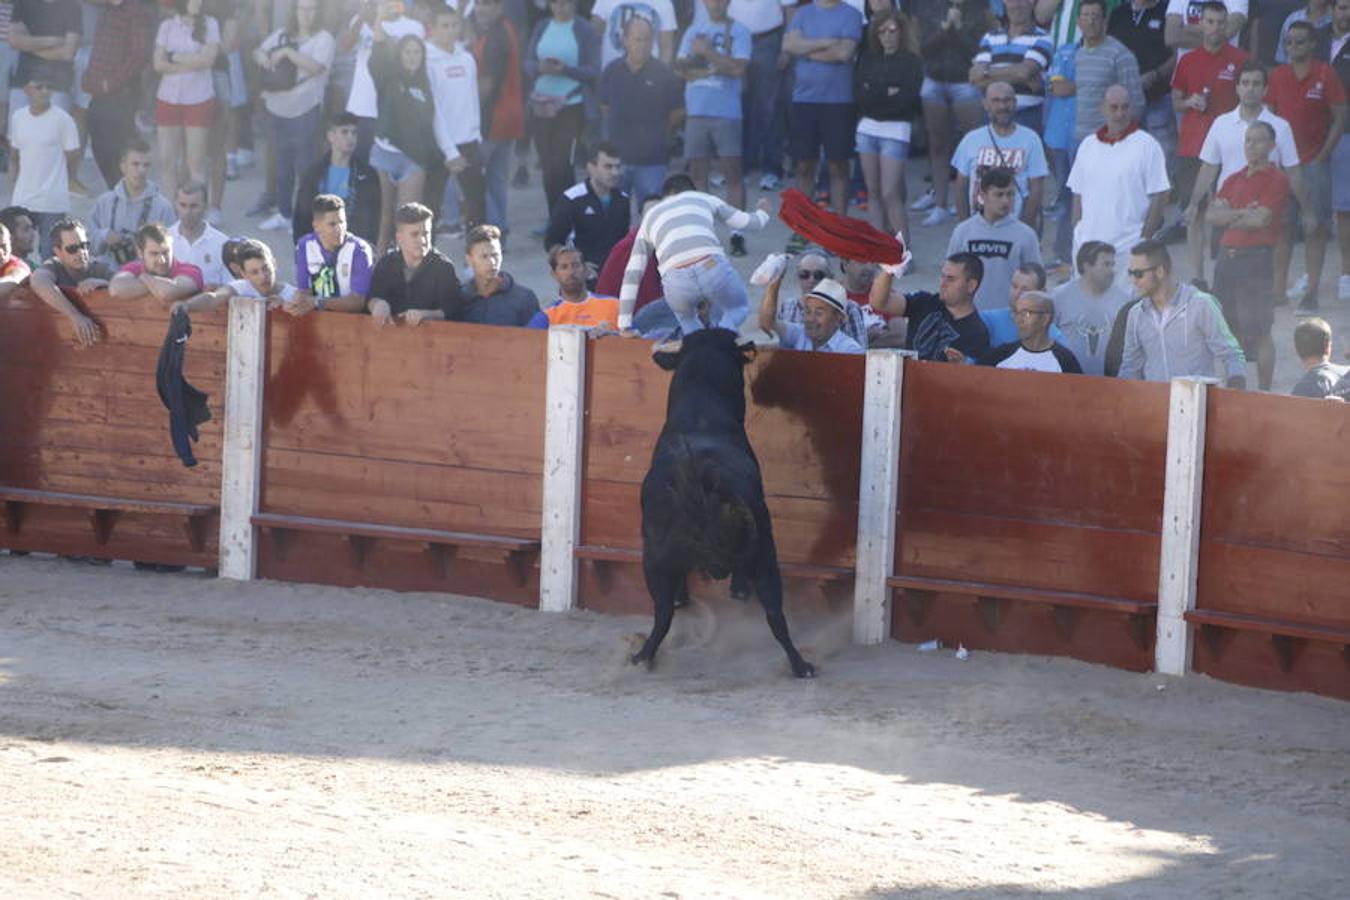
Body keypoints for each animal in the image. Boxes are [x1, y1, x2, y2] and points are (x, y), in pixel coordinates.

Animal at [629, 329, 815, 674]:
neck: (701, 416)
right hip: (765, 552)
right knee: (774, 614)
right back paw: (800, 666)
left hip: (656, 558)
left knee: (664, 613)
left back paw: (643, 656)